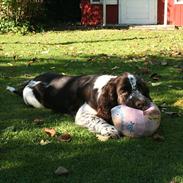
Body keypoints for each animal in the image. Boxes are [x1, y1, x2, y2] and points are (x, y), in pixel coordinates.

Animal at [6, 72, 151, 137]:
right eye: (123, 91)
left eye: (141, 89)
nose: (144, 104)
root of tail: (31, 80)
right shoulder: (82, 114)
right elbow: (98, 119)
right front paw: (110, 130)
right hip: (32, 98)